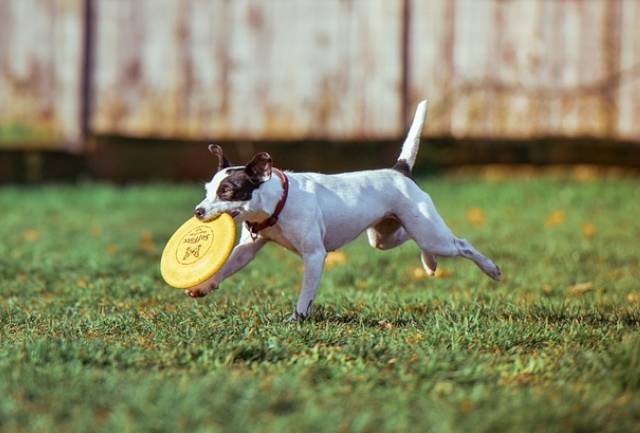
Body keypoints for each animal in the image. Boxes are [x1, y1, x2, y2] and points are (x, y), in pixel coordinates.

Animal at [188, 99, 502, 318]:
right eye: (207, 190)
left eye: (227, 191)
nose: (198, 212)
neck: (276, 203)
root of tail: (399, 171)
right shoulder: (247, 249)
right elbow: (227, 266)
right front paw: (204, 286)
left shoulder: (315, 256)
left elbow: (306, 292)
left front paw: (297, 318)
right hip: (385, 236)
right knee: (412, 239)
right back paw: (430, 262)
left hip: (431, 233)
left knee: (461, 244)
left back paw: (490, 268)